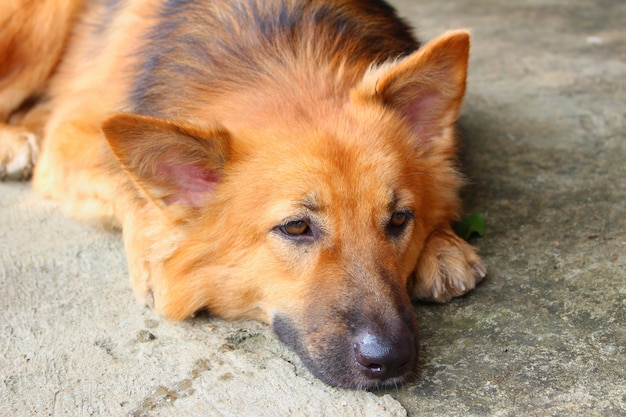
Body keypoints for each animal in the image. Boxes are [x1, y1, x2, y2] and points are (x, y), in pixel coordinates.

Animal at [0, 0, 486, 386]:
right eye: (297, 227)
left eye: (400, 219)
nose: (392, 360)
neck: (282, 50)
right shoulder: (72, 138)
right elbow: (128, 187)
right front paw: (156, 254)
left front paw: (442, 246)